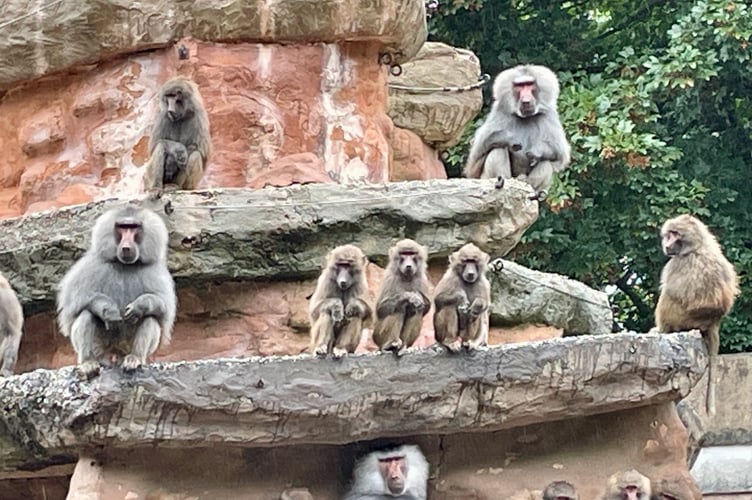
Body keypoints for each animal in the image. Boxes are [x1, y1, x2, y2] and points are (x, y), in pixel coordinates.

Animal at [57, 205, 177, 378]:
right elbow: (73, 300)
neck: (125, 265)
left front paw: (139, 306)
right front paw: (109, 309)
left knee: (150, 317)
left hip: (125, 349)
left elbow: (163, 307)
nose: (126, 247)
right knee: (87, 313)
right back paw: (88, 363)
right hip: (99, 350)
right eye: (122, 227)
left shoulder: (155, 271)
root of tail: (114, 355)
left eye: (133, 228)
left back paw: (134, 359)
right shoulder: (93, 263)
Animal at [464, 64, 571, 193]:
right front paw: (510, 139)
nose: (526, 100)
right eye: (519, 86)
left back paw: (532, 190)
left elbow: (560, 153)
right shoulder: (500, 112)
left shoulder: (548, 114)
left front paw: (536, 152)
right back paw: (502, 183)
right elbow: (474, 163)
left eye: (529, 84)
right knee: (498, 149)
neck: (525, 117)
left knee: (546, 161)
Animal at [654, 214, 739, 417]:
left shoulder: (676, 263)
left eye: (674, 234)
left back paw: (660, 331)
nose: (666, 243)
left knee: (667, 296)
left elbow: (671, 290)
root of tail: (713, 322)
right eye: (668, 234)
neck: (697, 245)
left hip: (681, 318)